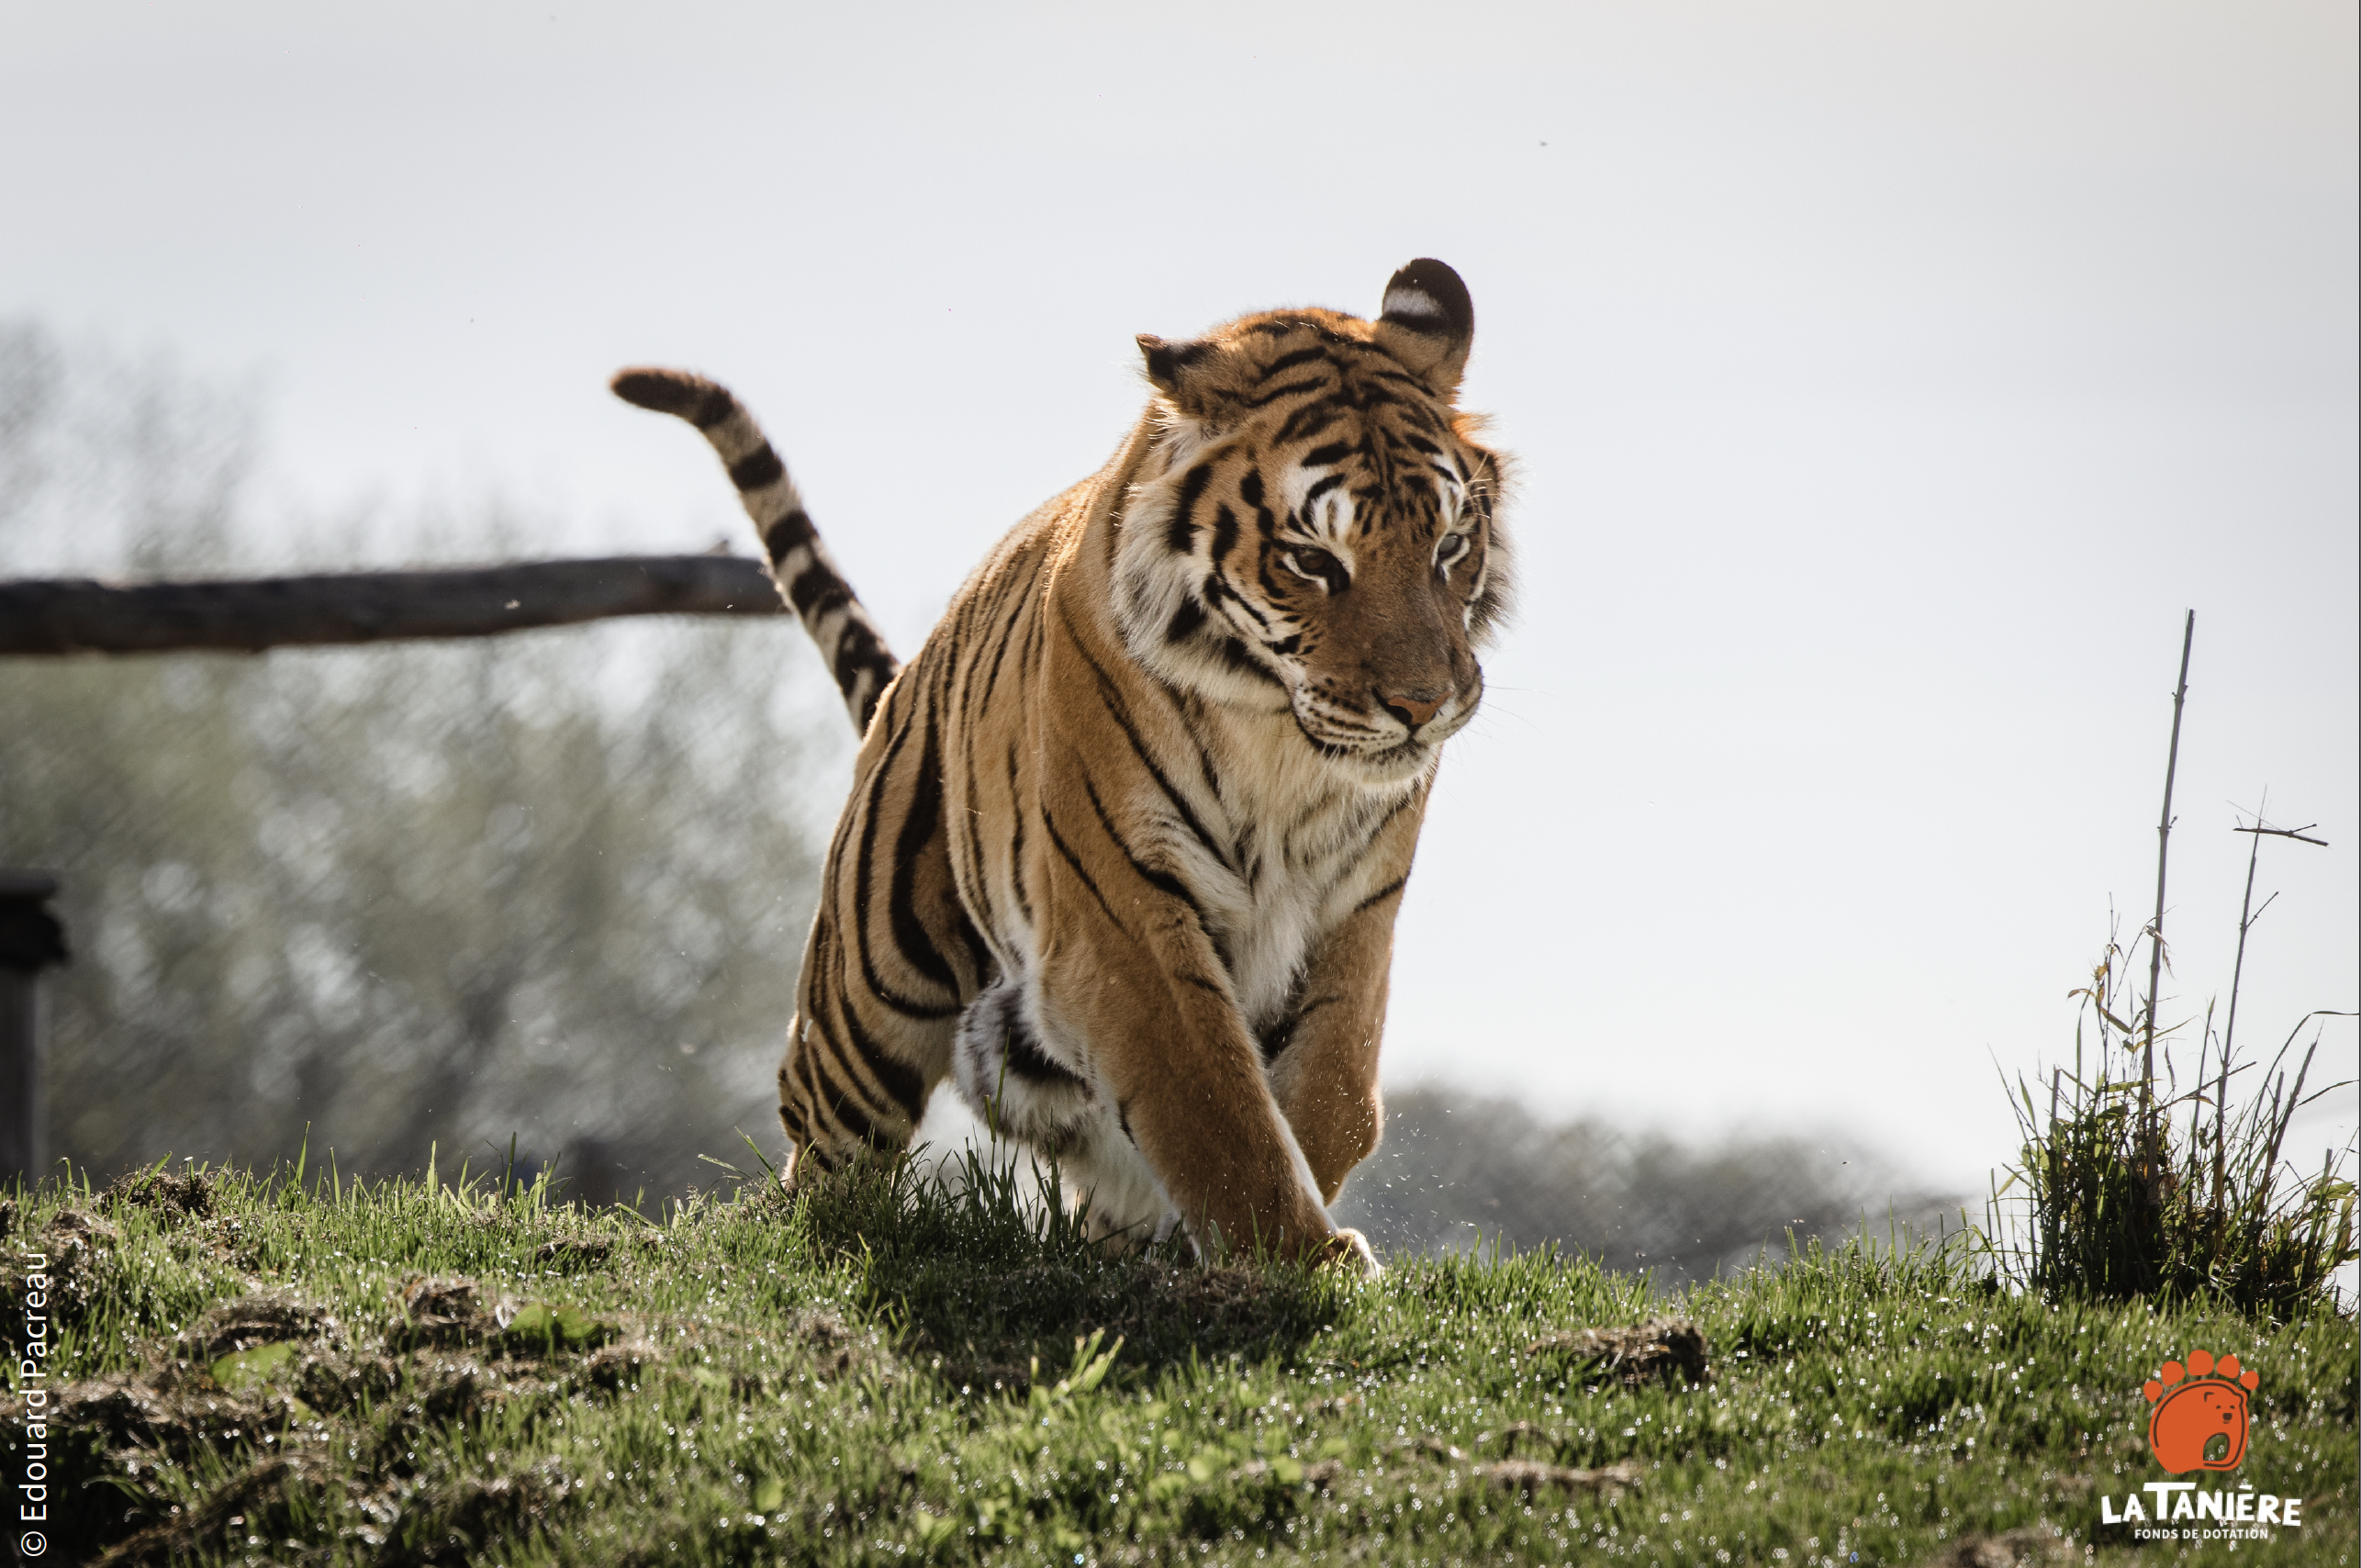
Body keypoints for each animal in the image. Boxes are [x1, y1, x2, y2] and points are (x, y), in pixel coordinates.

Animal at [618, 257, 1511, 1275]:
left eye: (1449, 546)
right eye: (1311, 560)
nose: (1423, 704)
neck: (1278, 738)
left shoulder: (1358, 905)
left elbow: (1333, 1087)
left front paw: (1277, 1235)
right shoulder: (1122, 909)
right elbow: (1212, 1099)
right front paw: (1294, 1256)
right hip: (867, 1000)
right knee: (822, 1163)